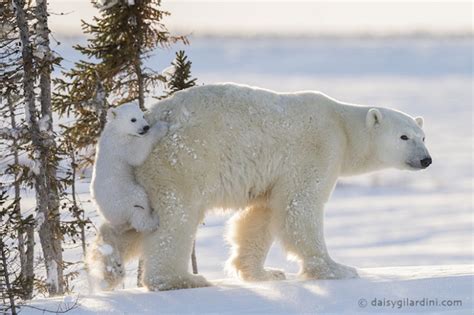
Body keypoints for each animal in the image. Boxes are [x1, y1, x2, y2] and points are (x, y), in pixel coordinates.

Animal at [131, 83, 432, 292]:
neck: (343, 126)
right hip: (181, 161)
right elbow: (299, 206)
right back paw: (180, 279)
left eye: (423, 136)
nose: (426, 159)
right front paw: (338, 269)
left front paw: (264, 273)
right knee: (176, 219)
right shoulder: (317, 148)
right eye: (403, 137)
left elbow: (261, 215)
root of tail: (153, 115)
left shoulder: (271, 176)